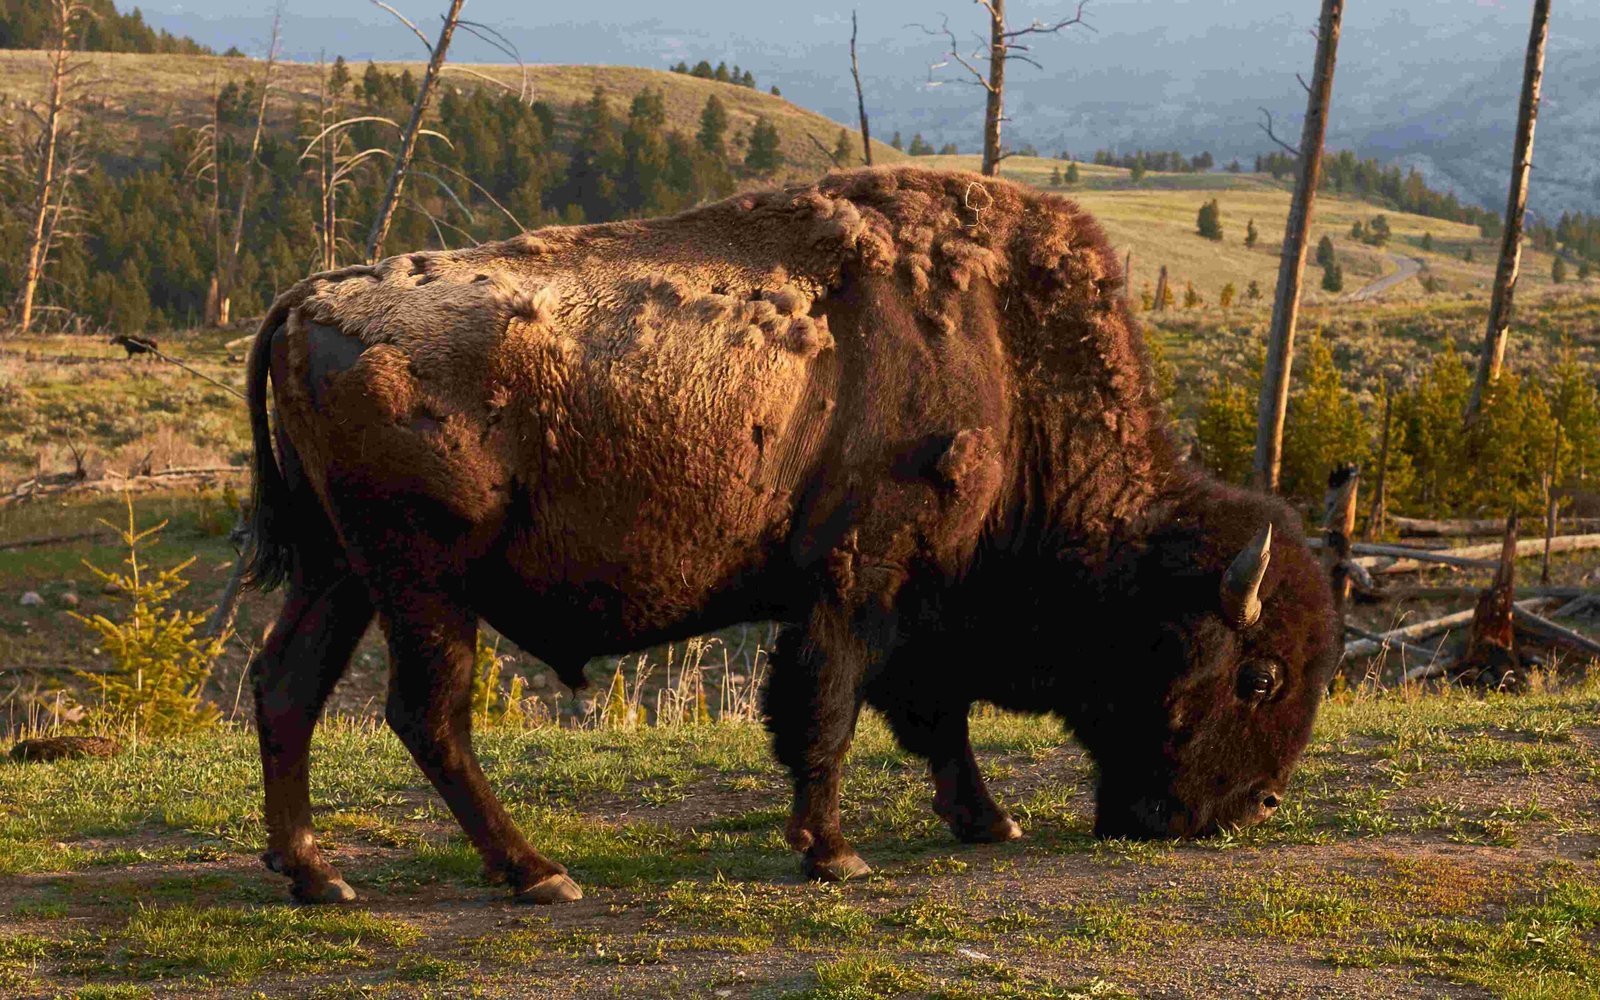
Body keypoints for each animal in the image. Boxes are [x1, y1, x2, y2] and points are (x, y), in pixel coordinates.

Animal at [236, 165, 1337, 902]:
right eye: (1259, 676)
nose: (1249, 810)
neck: (1006, 363)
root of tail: (308, 298)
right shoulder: (859, 583)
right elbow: (830, 712)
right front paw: (834, 852)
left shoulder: (915, 603)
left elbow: (930, 718)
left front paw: (989, 821)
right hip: (421, 582)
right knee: (428, 712)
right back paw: (537, 873)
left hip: (340, 572)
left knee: (288, 684)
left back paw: (315, 874)